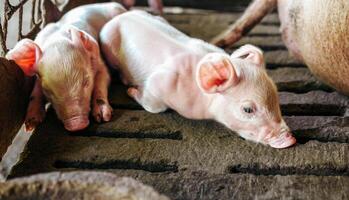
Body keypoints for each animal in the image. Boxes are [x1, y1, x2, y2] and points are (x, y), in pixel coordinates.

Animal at [6, 3, 125, 132]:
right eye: (48, 89)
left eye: (86, 81)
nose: (76, 124)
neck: (57, 39)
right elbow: (35, 91)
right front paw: (30, 124)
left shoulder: (100, 62)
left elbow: (101, 82)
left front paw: (104, 117)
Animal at [99, 11, 294, 148]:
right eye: (248, 109)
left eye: (276, 98)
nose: (291, 139)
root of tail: (121, 15)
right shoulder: (157, 84)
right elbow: (155, 107)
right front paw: (131, 90)